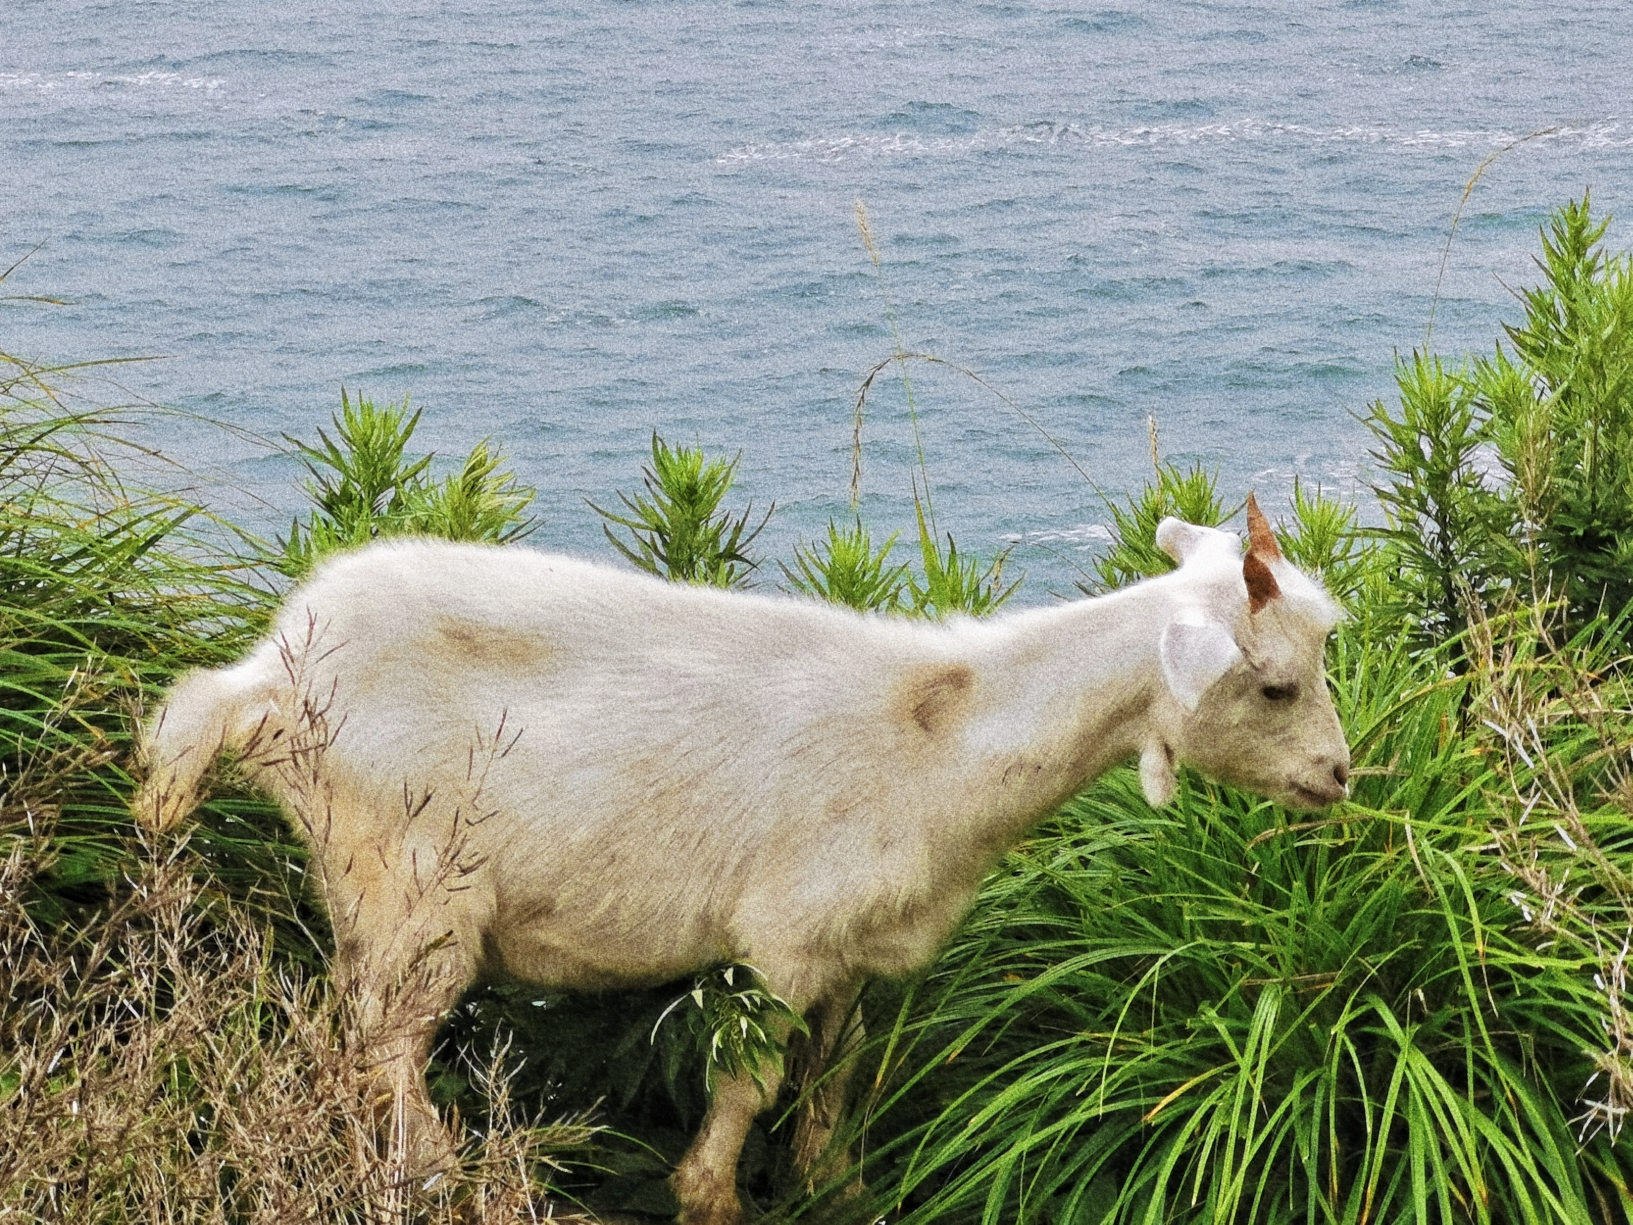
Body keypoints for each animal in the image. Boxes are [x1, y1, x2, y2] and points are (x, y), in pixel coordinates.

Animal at [133, 499, 1345, 1225]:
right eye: (1275, 684)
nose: (1339, 776)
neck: (940, 738)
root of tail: (261, 680)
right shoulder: (785, 938)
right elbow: (749, 1083)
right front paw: (710, 1194)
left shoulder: (857, 952)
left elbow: (834, 1075)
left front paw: (831, 1182)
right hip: (411, 877)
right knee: (381, 1043)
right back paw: (439, 1174)